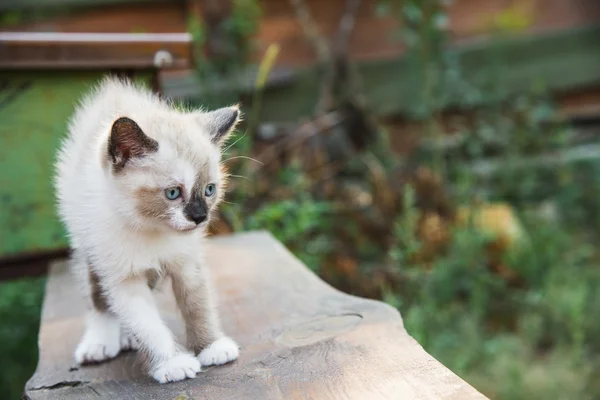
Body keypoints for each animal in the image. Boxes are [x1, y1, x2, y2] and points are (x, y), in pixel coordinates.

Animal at [54, 76, 241, 384]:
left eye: (209, 190)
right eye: (173, 193)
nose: (200, 217)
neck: (151, 228)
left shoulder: (187, 262)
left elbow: (197, 306)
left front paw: (211, 347)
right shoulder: (122, 277)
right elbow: (147, 324)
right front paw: (172, 364)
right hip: (88, 246)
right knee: (98, 298)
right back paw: (100, 342)